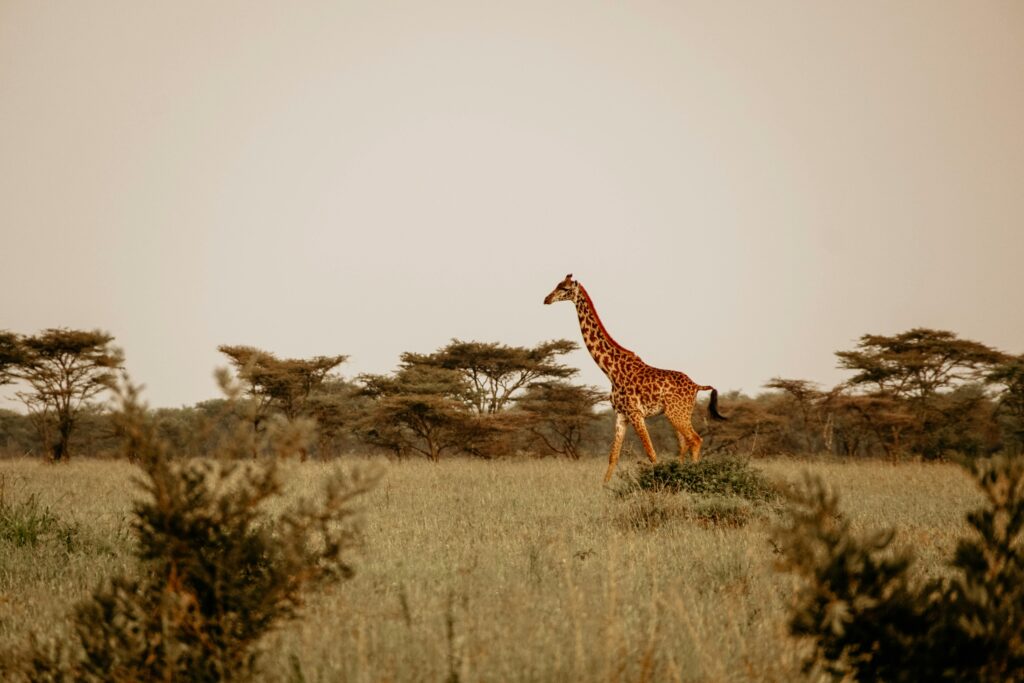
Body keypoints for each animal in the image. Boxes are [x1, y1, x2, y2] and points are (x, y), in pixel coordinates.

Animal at [543, 274, 727, 482]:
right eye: (557, 285)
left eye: (564, 289)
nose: (546, 299)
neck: (611, 370)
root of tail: (696, 386)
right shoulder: (621, 415)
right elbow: (613, 456)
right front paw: (604, 487)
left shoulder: (636, 413)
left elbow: (651, 453)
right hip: (679, 414)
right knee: (685, 444)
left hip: (676, 413)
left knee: (695, 440)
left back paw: (694, 477)